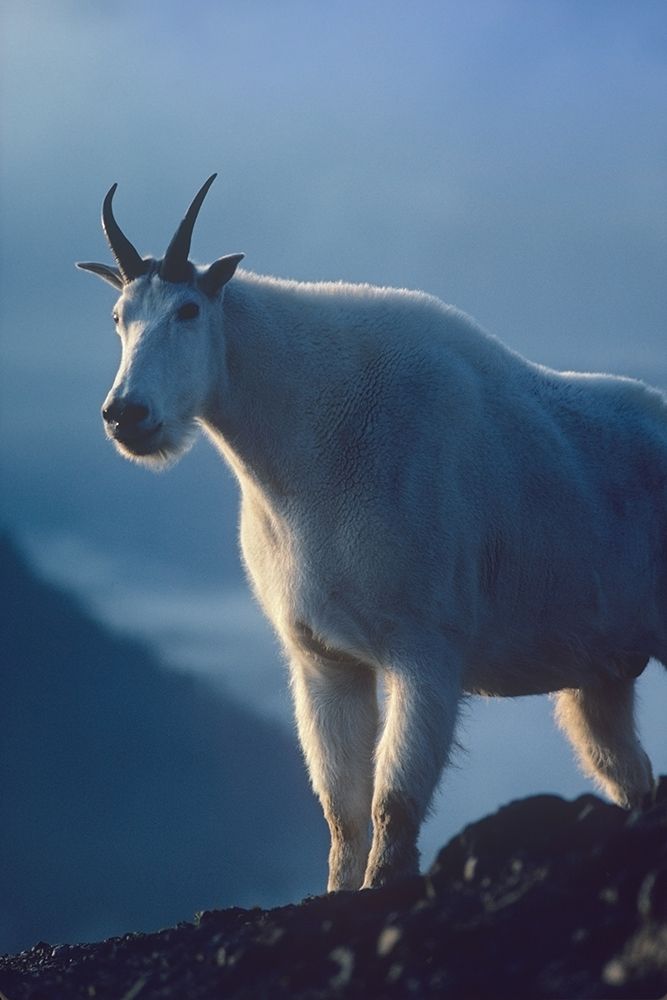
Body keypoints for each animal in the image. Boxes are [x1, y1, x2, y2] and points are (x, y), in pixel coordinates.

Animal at [78, 175, 663, 891]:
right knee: (630, 775)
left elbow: (394, 802)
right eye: (118, 317)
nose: (127, 415)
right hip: (602, 675)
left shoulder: (426, 650)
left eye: (188, 311)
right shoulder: (323, 660)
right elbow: (343, 813)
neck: (304, 456)